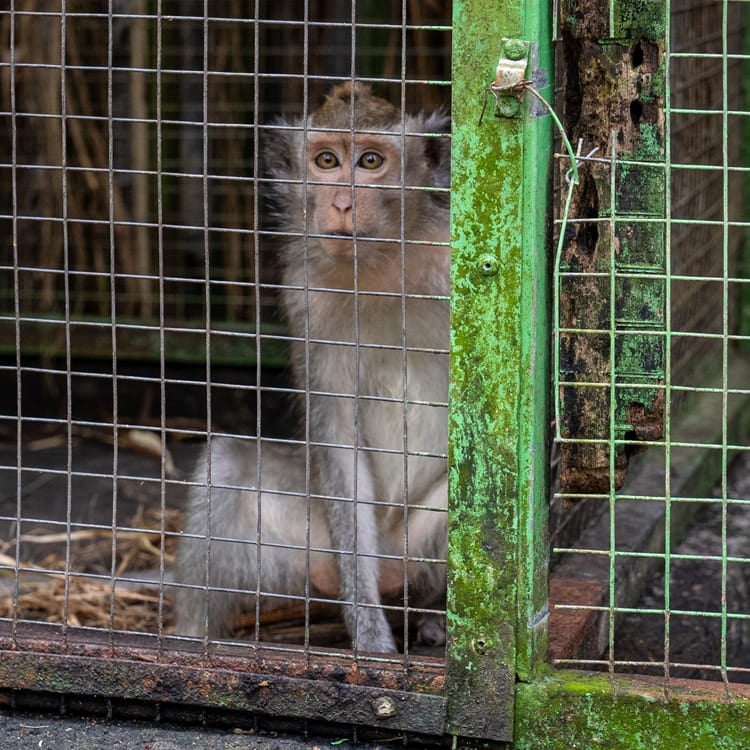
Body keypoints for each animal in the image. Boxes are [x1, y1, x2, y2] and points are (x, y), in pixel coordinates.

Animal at [174, 82, 450, 653]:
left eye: (370, 162)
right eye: (326, 161)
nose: (341, 202)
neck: (382, 264)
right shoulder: (306, 294)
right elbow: (337, 435)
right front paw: (369, 634)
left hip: (420, 542)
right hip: (314, 549)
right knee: (226, 468)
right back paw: (190, 645)